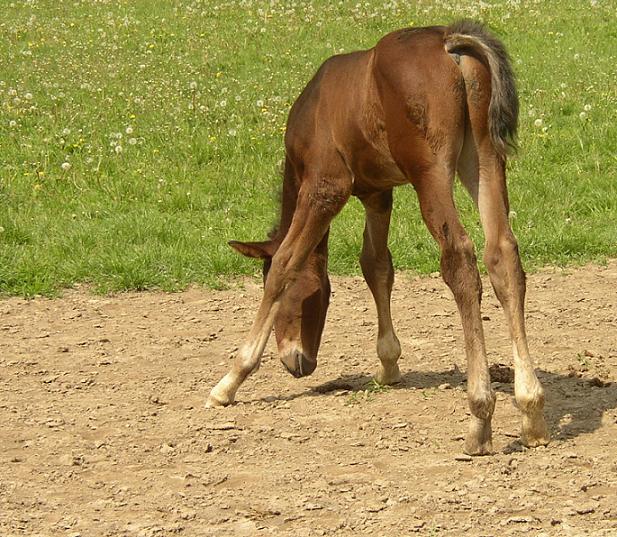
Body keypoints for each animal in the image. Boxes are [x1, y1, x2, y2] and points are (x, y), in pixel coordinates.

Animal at [207, 22, 548, 456]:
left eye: (307, 296)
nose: (299, 363)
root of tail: (449, 40)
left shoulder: (326, 188)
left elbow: (287, 260)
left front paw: (230, 379)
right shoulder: (377, 193)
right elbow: (376, 265)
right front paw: (388, 364)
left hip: (430, 170)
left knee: (460, 259)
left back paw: (479, 415)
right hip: (484, 158)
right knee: (502, 253)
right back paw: (531, 410)